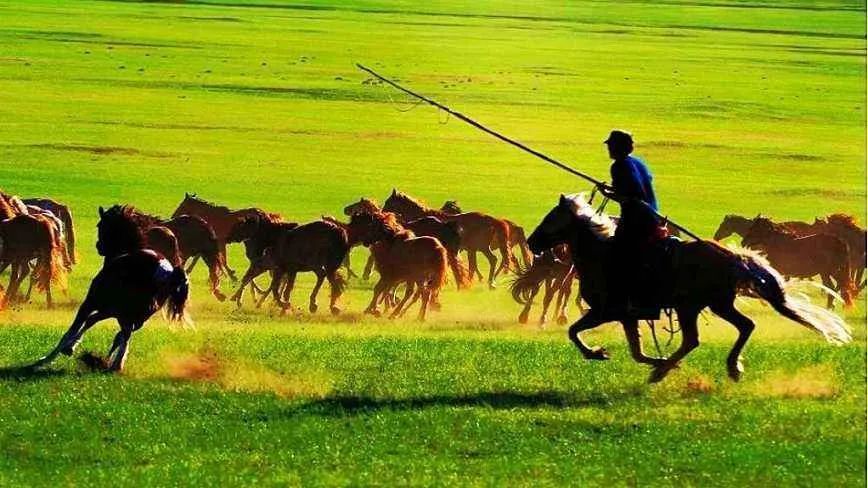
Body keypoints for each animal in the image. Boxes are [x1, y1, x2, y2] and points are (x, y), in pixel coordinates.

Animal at [28, 205, 188, 370]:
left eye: (100, 225)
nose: (99, 246)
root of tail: (166, 271)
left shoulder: (91, 303)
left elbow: (75, 327)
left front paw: (52, 355)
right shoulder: (110, 309)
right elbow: (93, 322)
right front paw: (73, 348)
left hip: (122, 311)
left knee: (124, 332)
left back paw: (114, 364)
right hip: (138, 315)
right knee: (125, 333)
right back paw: (112, 363)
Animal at [384, 190, 512, 290]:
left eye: (388, 202)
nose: (383, 213)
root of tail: (492, 220)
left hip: (481, 247)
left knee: (492, 260)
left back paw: (489, 282)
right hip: (478, 248)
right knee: (486, 262)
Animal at [524, 193, 852, 382]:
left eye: (551, 218)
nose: (531, 242)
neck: (601, 254)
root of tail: (733, 256)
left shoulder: (607, 311)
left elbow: (574, 332)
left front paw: (597, 353)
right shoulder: (628, 316)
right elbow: (636, 351)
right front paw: (653, 360)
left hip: (693, 306)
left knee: (699, 338)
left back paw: (673, 370)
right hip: (712, 304)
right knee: (739, 327)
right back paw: (718, 367)